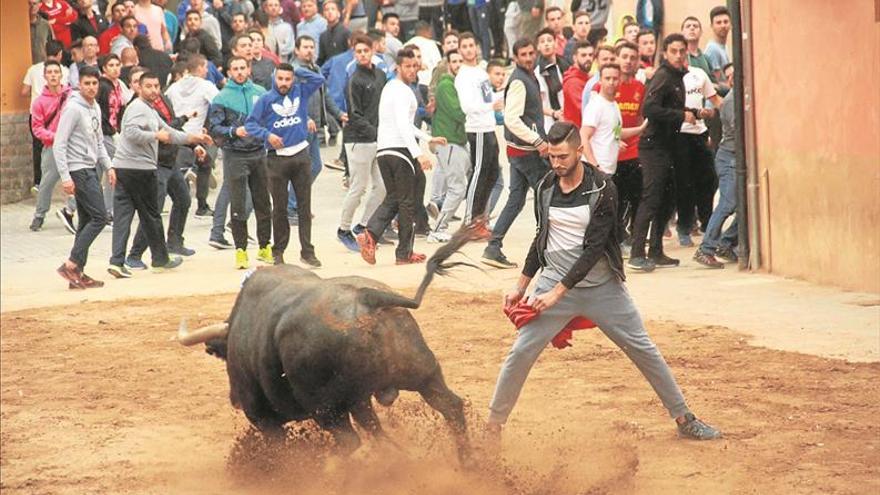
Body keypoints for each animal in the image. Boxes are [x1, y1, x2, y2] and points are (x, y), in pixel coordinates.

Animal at [177, 224, 482, 462]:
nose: (234, 400)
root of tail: (369, 299)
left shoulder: (264, 419)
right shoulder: (359, 401)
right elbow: (376, 430)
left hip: (327, 410)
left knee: (349, 441)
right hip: (422, 375)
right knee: (451, 407)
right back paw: (469, 464)